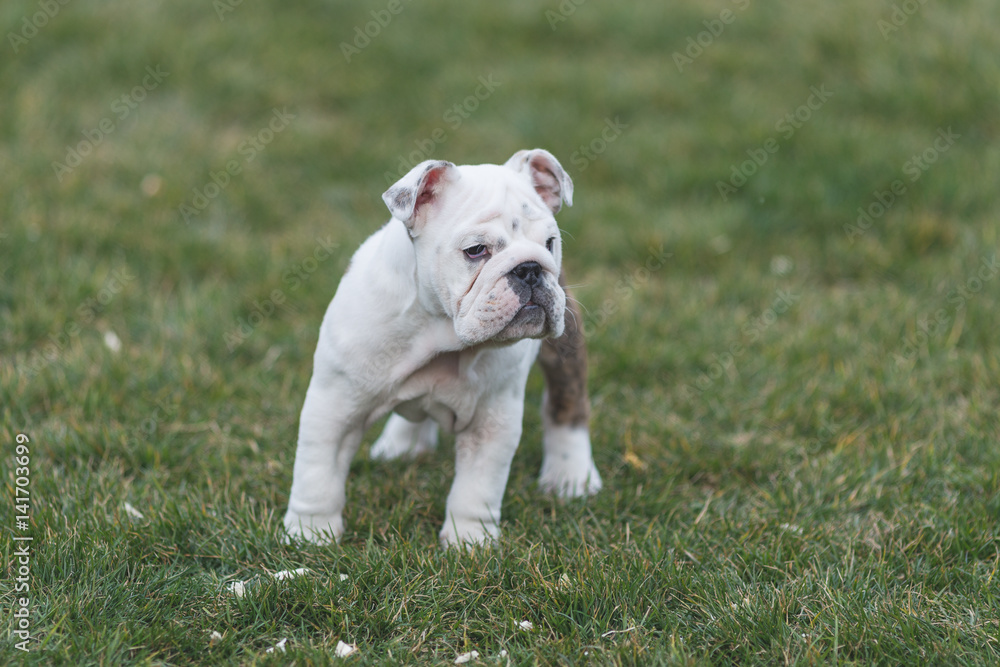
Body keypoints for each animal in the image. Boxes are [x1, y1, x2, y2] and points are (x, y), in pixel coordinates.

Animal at [286, 149, 604, 544]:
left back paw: (570, 476)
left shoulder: (492, 421)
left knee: (567, 404)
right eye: (476, 250)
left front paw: (469, 540)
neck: (441, 333)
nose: (530, 268)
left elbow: (477, 488)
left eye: (550, 243)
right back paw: (402, 445)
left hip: (565, 345)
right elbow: (318, 475)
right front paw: (309, 533)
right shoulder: (335, 404)